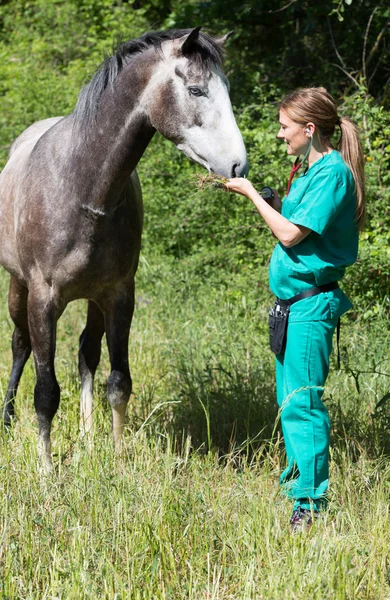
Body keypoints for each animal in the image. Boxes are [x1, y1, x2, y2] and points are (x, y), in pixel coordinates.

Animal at [0, 27, 248, 468]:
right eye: (196, 90)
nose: (238, 165)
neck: (82, 186)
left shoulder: (118, 295)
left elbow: (118, 381)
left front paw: (115, 459)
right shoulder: (43, 300)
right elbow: (46, 391)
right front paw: (47, 470)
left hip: (93, 298)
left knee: (87, 352)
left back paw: (86, 434)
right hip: (18, 288)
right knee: (20, 346)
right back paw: (9, 419)